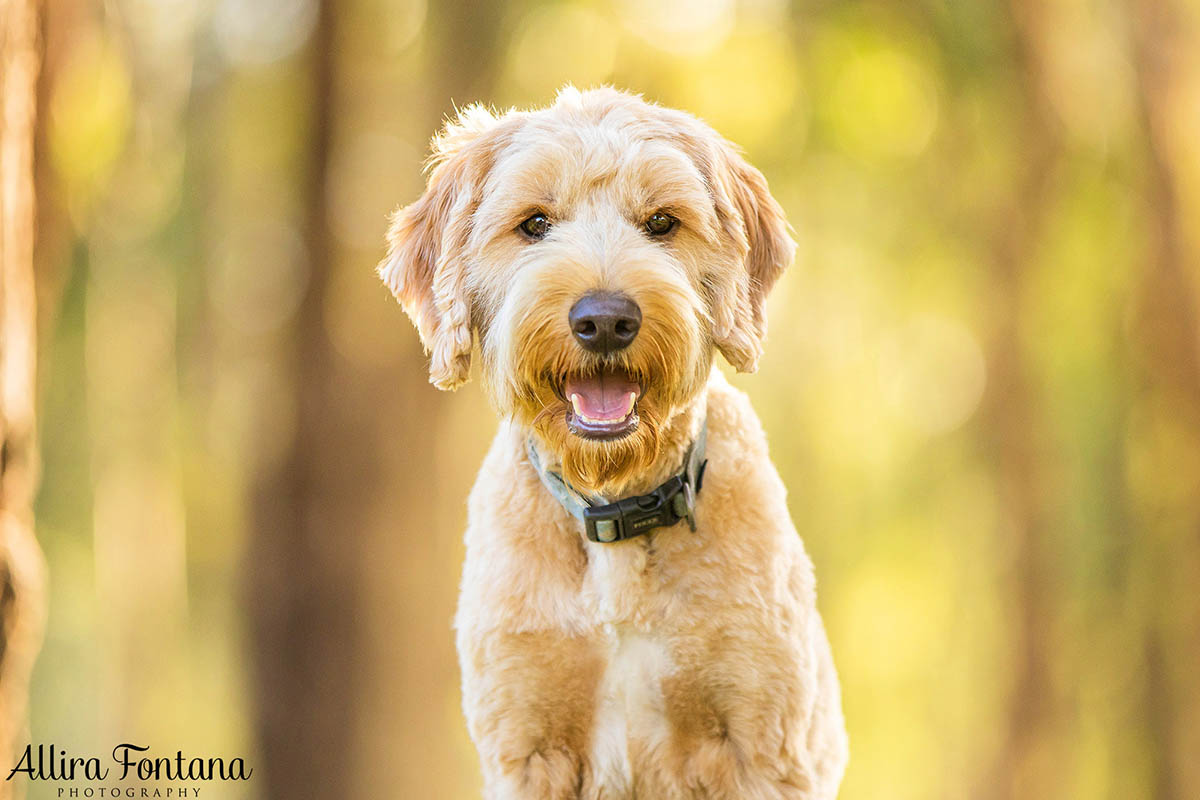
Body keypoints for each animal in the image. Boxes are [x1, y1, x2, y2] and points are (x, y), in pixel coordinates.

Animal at [379, 87, 849, 800]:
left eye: (662, 222)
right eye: (534, 224)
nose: (604, 320)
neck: (616, 507)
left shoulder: (765, 744)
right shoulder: (526, 744)